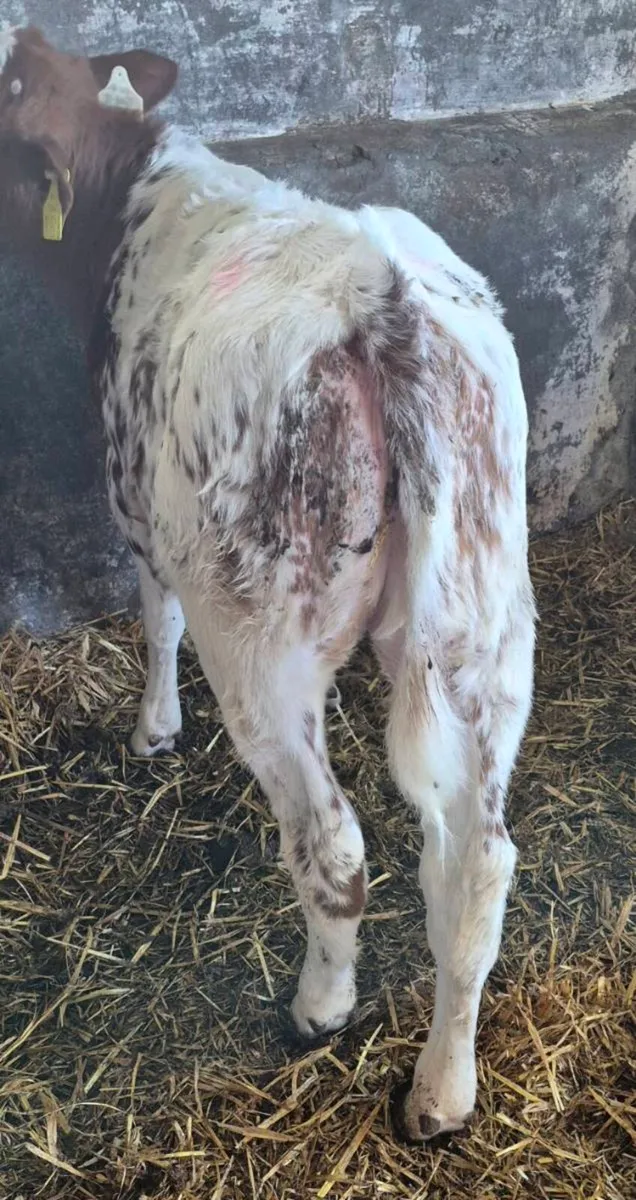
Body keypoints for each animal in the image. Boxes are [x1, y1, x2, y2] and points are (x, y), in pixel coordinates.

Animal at [0, 25, 535, 1142]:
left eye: (5, 88)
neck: (137, 190)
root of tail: (385, 304)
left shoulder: (137, 501)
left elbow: (153, 612)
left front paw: (154, 728)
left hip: (261, 638)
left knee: (333, 845)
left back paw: (320, 1007)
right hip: (490, 619)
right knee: (478, 863)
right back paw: (442, 1090)